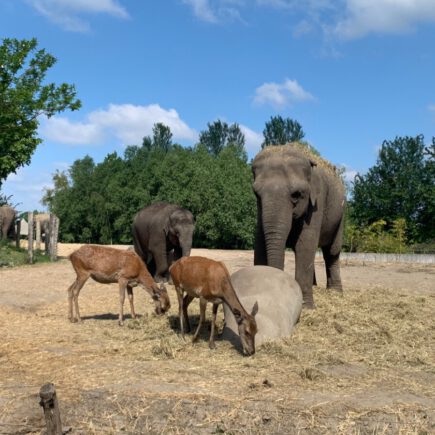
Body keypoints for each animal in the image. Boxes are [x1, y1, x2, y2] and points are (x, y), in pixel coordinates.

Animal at [254, 145, 346, 308]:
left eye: (296, 195)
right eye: (256, 194)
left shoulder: (317, 203)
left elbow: (306, 244)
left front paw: (306, 307)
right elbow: (259, 241)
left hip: (341, 215)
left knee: (332, 251)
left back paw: (335, 293)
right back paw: (316, 286)